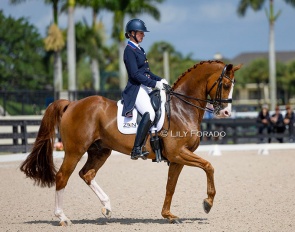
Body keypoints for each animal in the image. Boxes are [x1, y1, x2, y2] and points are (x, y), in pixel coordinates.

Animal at [20, 59, 243, 225]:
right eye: (225, 85)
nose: (225, 113)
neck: (182, 108)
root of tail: (71, 104)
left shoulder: (177, 158)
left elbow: (170, 186)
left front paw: (168, 215)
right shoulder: (179, 152)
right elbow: (209, 166)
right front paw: (208, 203)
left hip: (100, 150)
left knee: (87, 174)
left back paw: (107, 207)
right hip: (75, 151)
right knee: (62, 177)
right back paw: (63, 218)